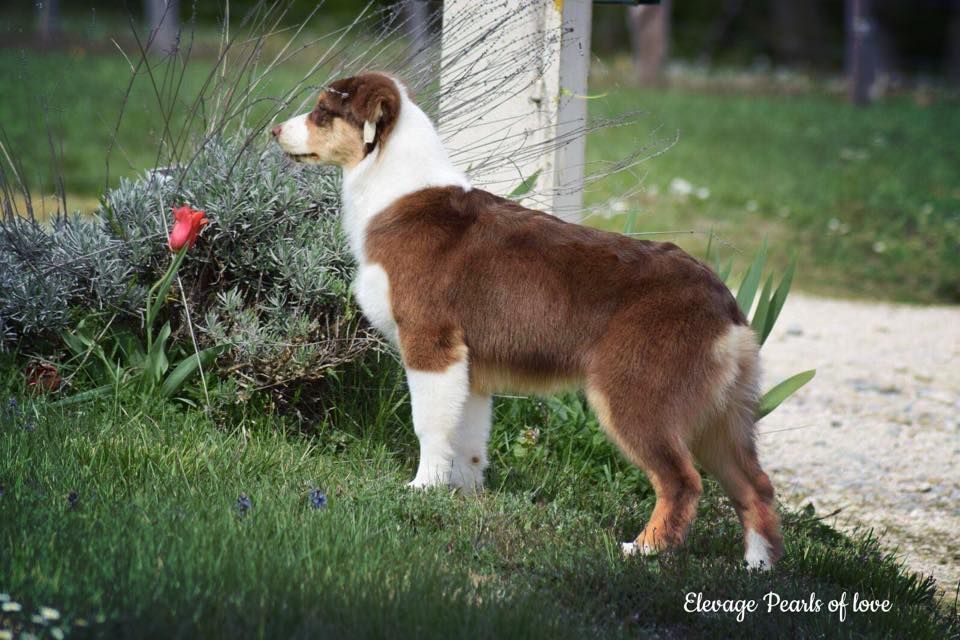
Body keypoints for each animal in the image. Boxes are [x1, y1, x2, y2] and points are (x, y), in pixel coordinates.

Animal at [274, 71, 784, 568]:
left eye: (323, 111)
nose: (274, 130)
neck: (392, 186)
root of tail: (725, 302)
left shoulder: (430, 343)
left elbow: (430, 424)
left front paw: (421, 488)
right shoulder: (471, 367)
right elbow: (469, 438)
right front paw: (463, 498)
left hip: (638, 393)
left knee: (682, 481)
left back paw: (644, 549)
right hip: (719, 414)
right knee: (755, 486)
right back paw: (756, 568)